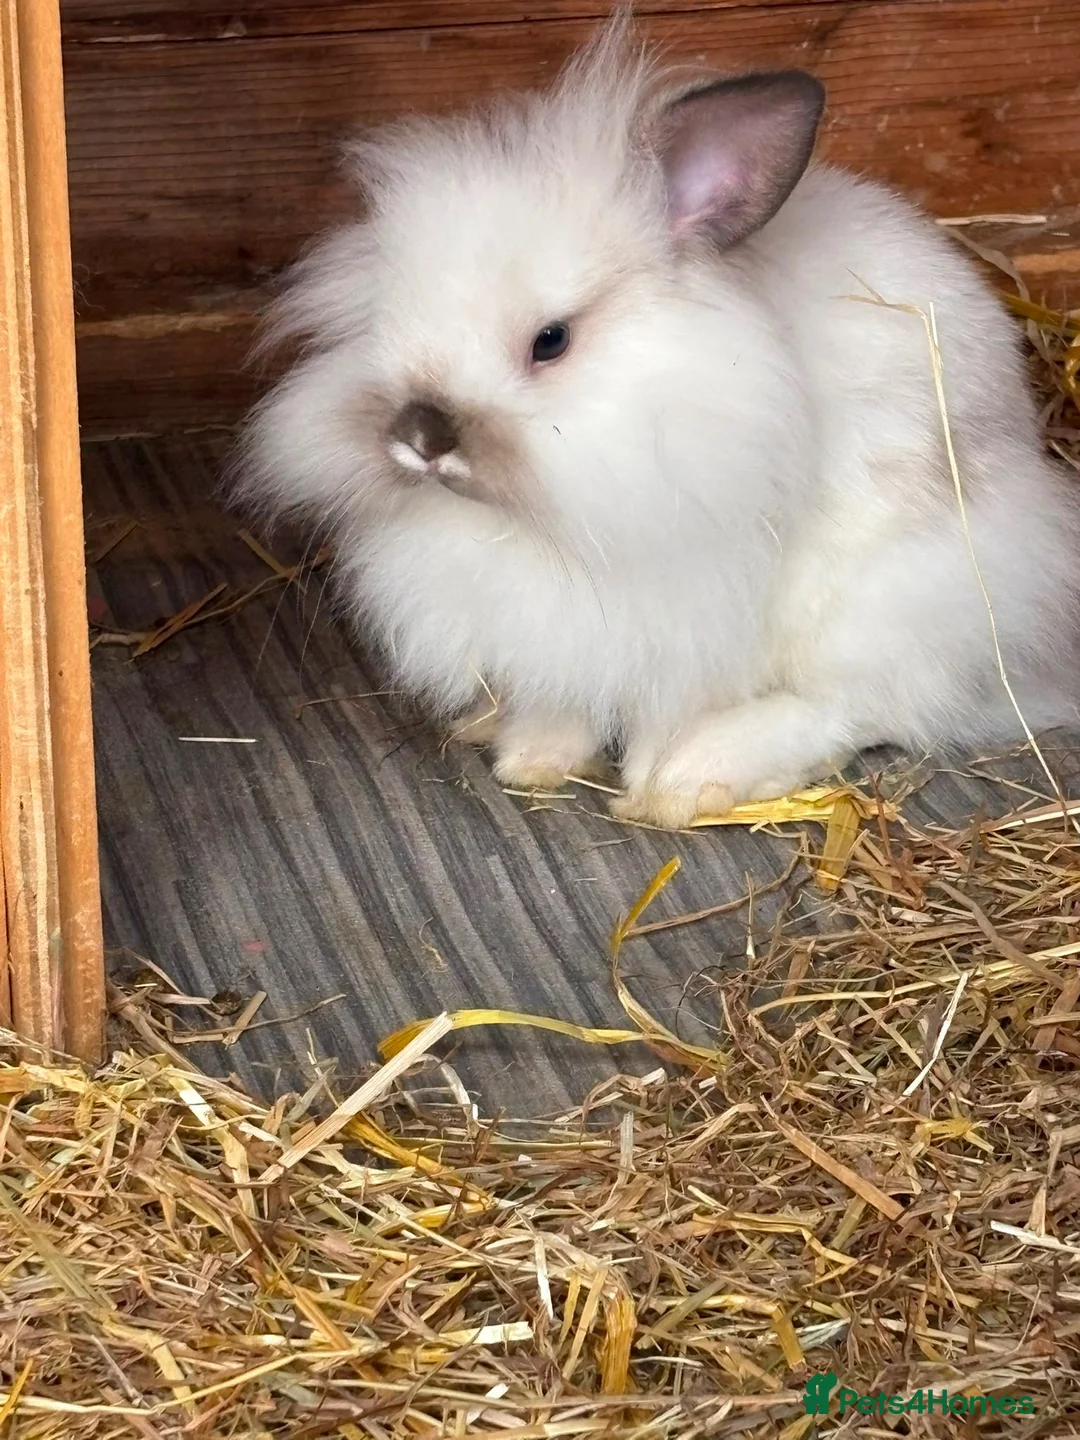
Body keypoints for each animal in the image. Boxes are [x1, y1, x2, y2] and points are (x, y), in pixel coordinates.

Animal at [236, 15, 1080, 830]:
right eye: (386, 310)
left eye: (551, 340)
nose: (420, 438)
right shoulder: (553, 630)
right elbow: (560, 695)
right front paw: (534, 758)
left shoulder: (689, 615)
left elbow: (670, 706)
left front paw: (646, 780)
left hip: (901, 594)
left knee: (866, 704)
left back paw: (701, 772)